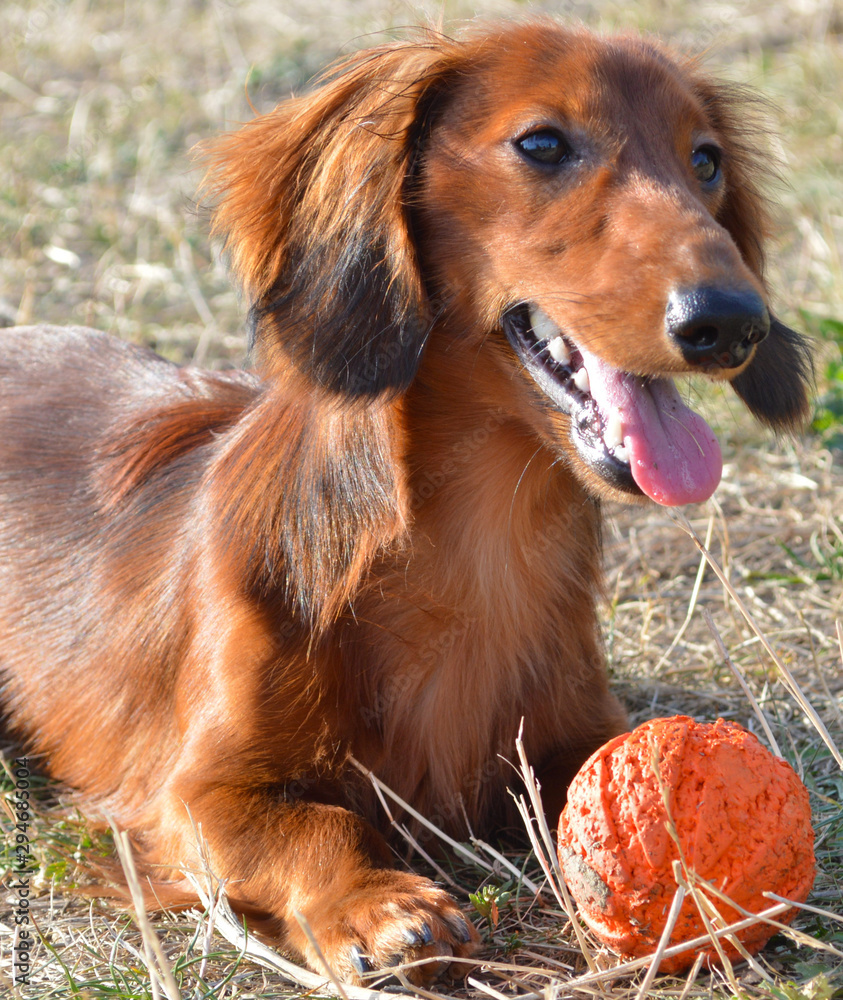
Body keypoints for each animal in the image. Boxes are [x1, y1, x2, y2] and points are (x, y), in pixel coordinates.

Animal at [3, 19, 816, 988]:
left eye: (705, 159)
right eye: (543, 144)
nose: (731, 321)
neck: (474, 545)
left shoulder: (582, 729)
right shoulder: (195, 790)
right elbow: (314, 823)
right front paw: (378, 906)